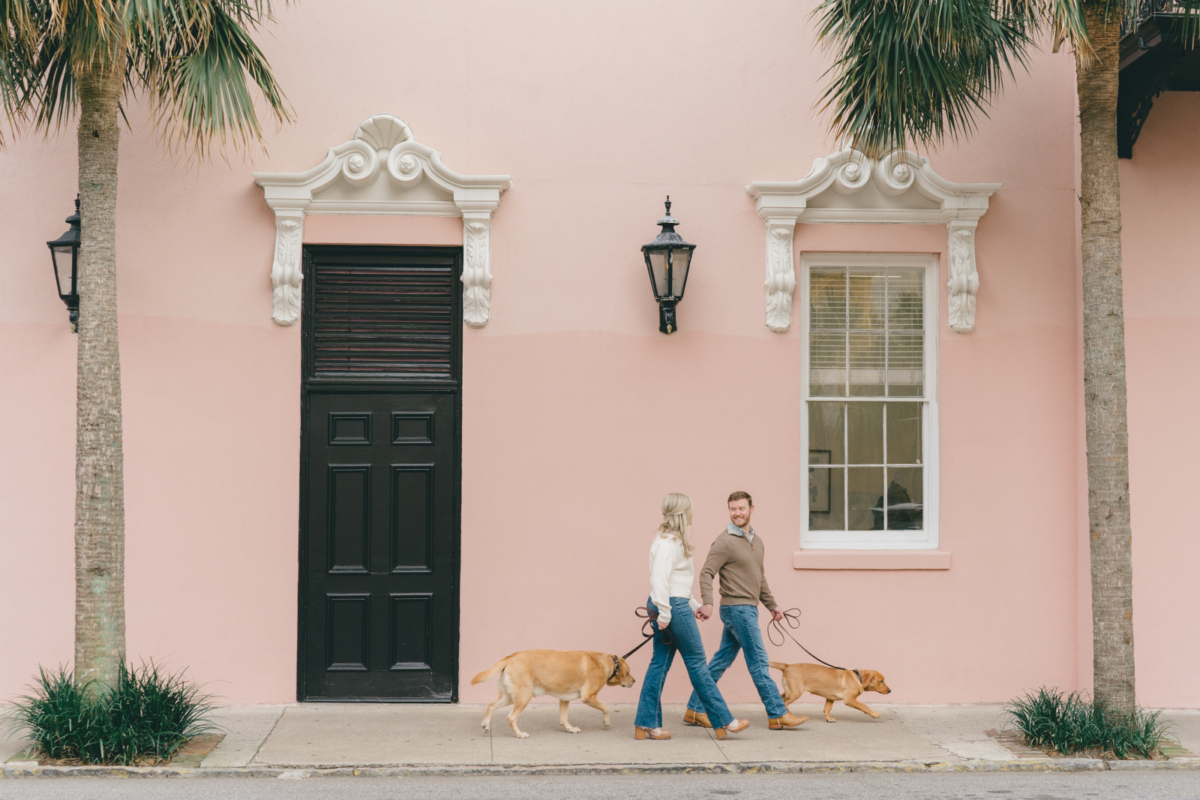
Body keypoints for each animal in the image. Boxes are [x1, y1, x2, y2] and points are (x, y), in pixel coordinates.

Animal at [472, 652, 638, 738]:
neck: (607, 663)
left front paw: (569, 728)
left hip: (510, 696)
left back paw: (485, 725)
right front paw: (606, 722)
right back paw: (520, 734)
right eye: (629, 672)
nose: (635, 681)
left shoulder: (564, 698)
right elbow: (606, 708)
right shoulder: (589, 697)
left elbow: (564, 717)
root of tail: (511, 656)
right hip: (524, 696)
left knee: (491, 705)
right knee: (511, 717)